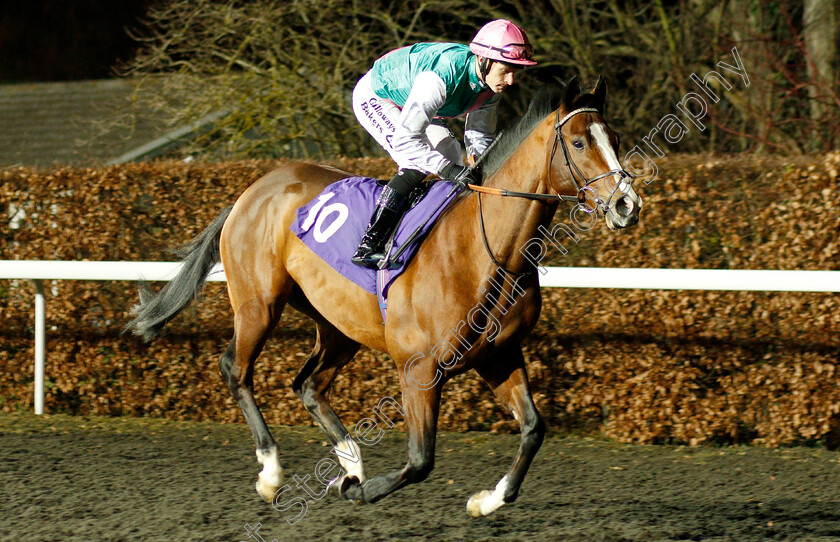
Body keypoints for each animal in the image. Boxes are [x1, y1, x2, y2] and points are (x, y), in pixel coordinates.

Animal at [128, 76, 644, 520]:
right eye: (578, 143)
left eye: (614, 137)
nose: (627, 205)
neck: (486, 250)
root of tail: (253, 190)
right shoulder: (419, 368)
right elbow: (420, 460)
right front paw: (359, 492)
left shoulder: (498, 354)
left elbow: (534, 429)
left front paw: (487, 500)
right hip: (259, 303)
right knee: (235, 369)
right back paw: (274, 472)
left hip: (338, 324)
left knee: (309, 385)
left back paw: (350, 464)